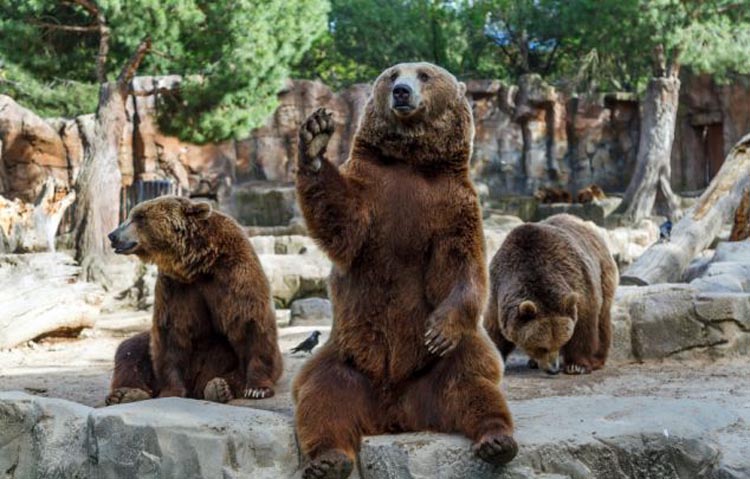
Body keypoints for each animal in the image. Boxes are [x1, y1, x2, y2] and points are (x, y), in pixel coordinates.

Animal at [105, 195, 282, 404]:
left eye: (139, 217)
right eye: (132, 215)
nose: (113, 235)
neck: (199, 265)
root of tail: (195, 385)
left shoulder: (235, 274)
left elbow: (249, 322)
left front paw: (257, 388)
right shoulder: (175, 287)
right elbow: (171, 333)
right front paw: (171, 391)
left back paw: (220, 387)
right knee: (130, 350)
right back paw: (125, 393)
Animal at [292, 63, 516, 479]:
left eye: (425, 74)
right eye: (393, 73)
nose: (401, 91)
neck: (412, 162)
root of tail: (395, 413)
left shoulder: (453, 204)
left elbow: (462, 265)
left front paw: (439, 331)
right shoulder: (372, 192)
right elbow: (342, 222)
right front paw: (315, 138)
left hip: (437, 370)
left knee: (472, 380)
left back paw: (497, 440)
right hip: (346, 358)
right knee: (322, 394)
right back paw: (328, 460)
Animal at [484, 214, 620, 376]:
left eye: (561, 342)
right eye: (542, 347)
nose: (553, 369)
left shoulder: (578, 282)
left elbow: (584, 324)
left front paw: (576, 366)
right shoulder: (497, 292)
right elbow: (494, 331)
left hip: (603, 271)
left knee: (602, 319)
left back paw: (597, 359)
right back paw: (532, 362)